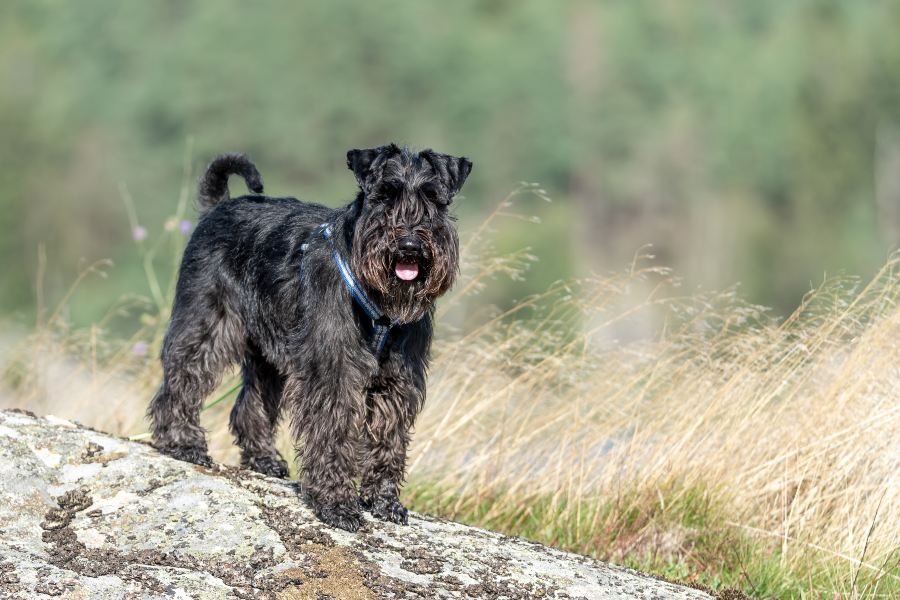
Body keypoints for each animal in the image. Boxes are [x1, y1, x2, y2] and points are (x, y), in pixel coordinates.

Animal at [149, 144, 472, 528]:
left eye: (432, 198)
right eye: (384, 195)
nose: (408, 245)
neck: (378, 301)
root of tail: (219, 206)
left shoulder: (397, 380)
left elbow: (388, 439)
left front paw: (384, 501)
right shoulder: (332, 372)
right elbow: (332, 433)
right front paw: (336, 503)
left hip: (268, 356)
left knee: (249, 404)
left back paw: (264, 459)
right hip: (207, 324)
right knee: (181, 379)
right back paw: (181, 443)